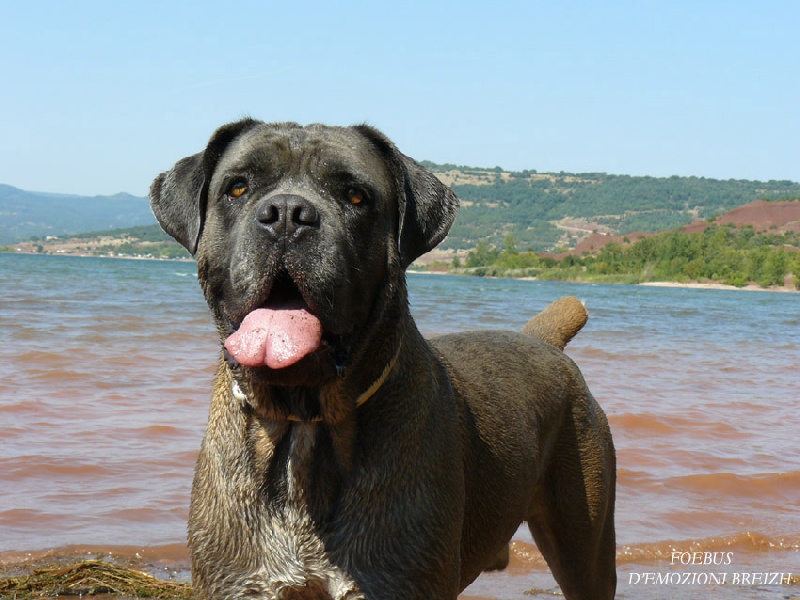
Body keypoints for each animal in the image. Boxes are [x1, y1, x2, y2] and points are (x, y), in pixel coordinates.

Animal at [150, 118, 620, 600]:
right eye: (238, 188)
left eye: (356, 196)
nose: (286, 213)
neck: (305, 420)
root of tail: (543, 341)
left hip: (585, 547)